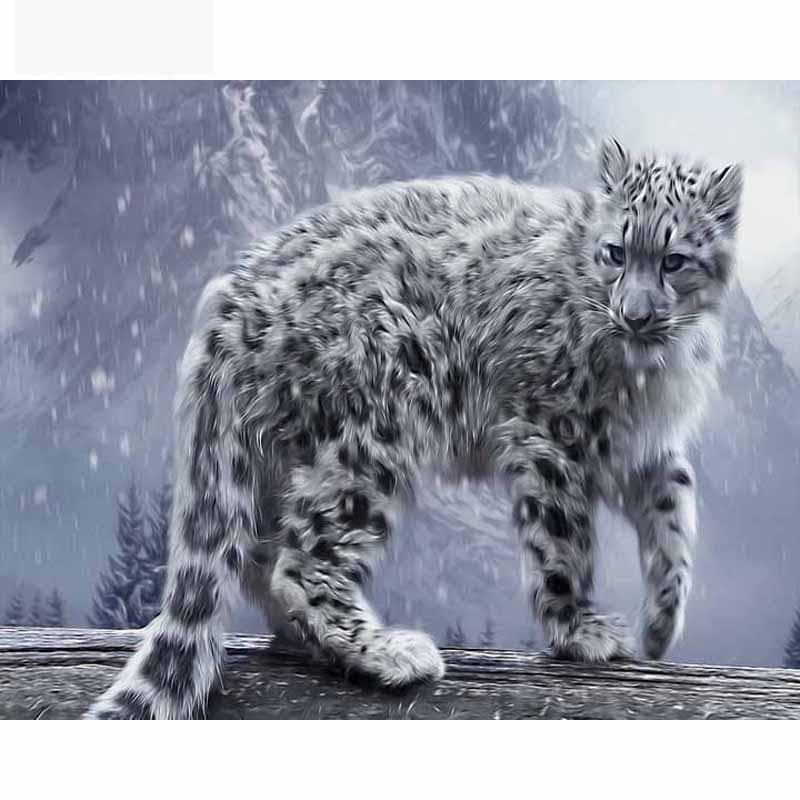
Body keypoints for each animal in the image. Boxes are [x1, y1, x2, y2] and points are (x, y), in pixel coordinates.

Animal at [86, 138, 742, 719]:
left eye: (674, 260)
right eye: (615, 252)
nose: (636, 314)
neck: (652, 372)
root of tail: (229, 304)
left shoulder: (640, 447)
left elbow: (675, 511)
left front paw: (660, 626)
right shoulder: (552, 432)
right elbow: (563, 539)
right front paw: (580, 630)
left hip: (277, 457)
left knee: (257, 556)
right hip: (372, 435)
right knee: (301, 560)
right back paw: (390, 654)